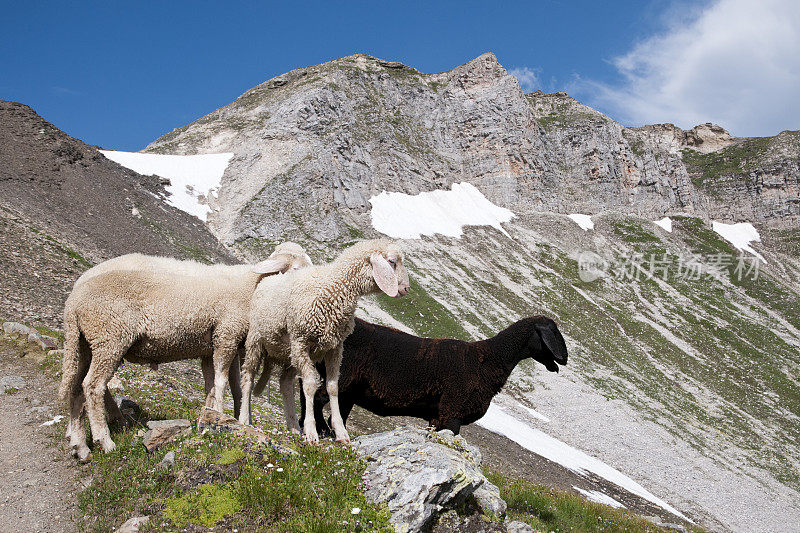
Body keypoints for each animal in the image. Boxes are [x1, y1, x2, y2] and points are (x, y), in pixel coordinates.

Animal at [56, 243, 310, 460]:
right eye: (296, 269)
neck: (253, 287)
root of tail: (73, 301)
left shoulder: (219, 344)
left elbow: (224, 386)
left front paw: (223, 417)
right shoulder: (226, 334)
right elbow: (221, 382)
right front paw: (222, 416)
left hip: (86, 345)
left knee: (76, 387)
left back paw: (80, 445)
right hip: (110, 338)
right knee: (93, 385)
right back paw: (106, 440)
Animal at [241, 239, 410, 442]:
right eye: (392, 261)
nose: (406, 288)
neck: (334, 288)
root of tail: (273, 277)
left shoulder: (335, 348)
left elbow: (333, 387)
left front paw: (341, 432)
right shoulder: (302, 341)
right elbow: (310, 385)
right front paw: (311, 431)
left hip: (291, 353)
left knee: (286, 384)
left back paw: (293, 427)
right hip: (258, 341)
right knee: (248, 376)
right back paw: (244, 418)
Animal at [296, 314, 564, 434]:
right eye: (553, 331)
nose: (563, 359)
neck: (488, 360)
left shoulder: (438, 417)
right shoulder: (452, 412)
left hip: (348, 390)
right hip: (342, 379)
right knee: (317, 398)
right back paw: (320, 429)